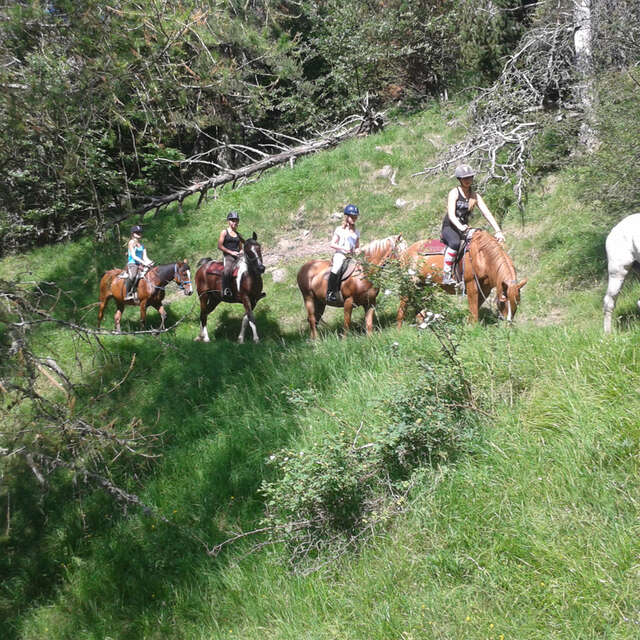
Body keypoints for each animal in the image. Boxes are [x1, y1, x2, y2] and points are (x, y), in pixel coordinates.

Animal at [398, 231, 528, 328]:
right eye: (502, 301)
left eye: (517, 302)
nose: (508, 324)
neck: (483, 258)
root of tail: (407, 251)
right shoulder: (471, 285)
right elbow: (474, 310)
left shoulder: (485, 290)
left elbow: (475, 308)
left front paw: (468, 323)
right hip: (410, 283)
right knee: (402, 305)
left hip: (423, 286)